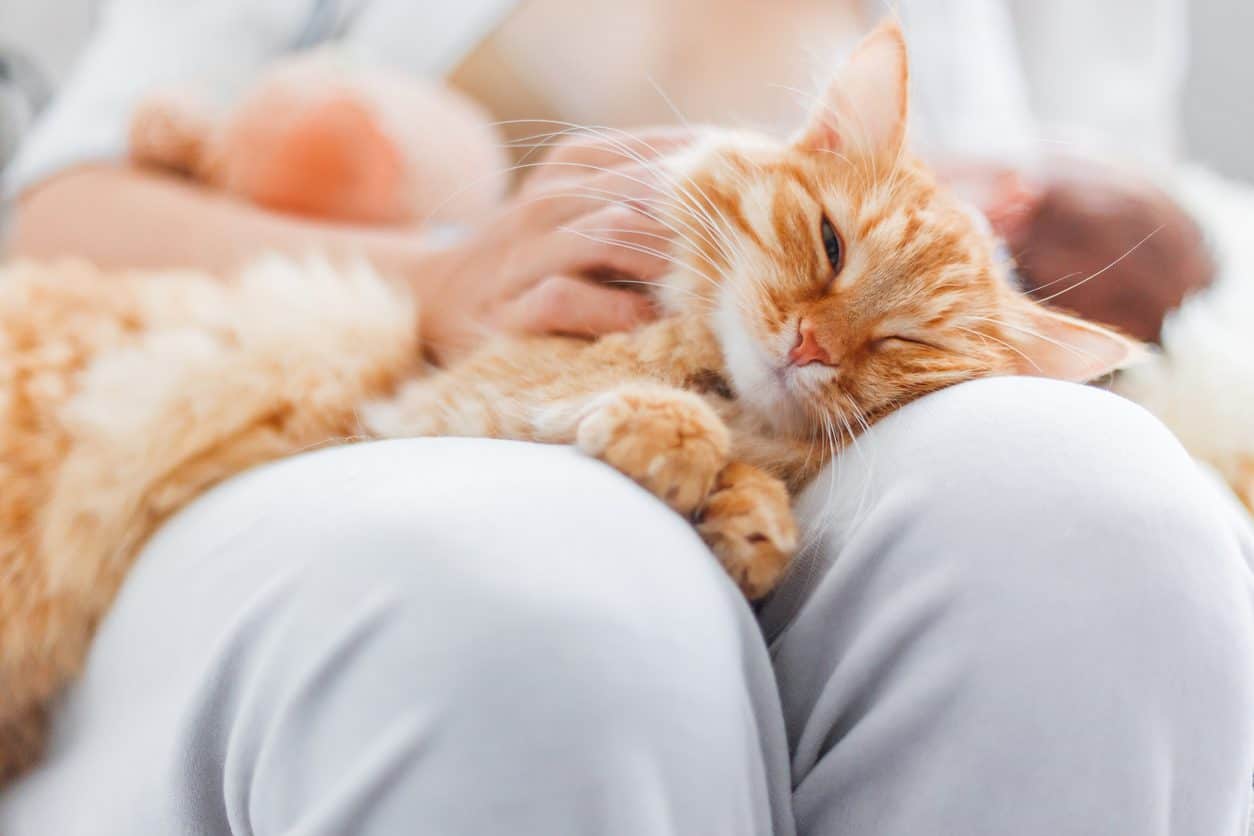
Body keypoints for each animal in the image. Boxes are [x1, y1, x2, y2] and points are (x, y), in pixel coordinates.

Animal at [0, 24, 1138, 787]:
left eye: (904, 344)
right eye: (829, 245)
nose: (811, 347)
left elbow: (752, 482)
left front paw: (750, 524)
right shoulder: (454, 395)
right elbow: (630, 404)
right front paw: (680, 446)